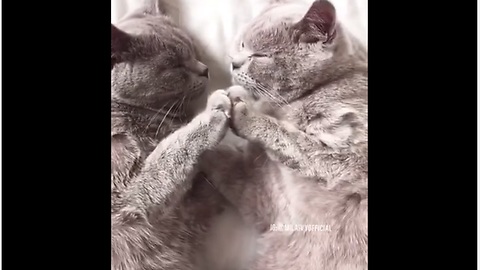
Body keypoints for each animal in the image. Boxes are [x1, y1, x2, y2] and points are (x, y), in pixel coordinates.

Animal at [111, 4, 236, 270]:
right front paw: (212, 113)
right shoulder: (123, 194)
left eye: (193, 49)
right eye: (175, 65)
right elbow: (167, 156)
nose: (205, 69)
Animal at [201, 1, 370, 268]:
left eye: (260, 55)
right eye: (242, 44)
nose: (233, 63)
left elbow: (293, 140)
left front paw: (245, 113)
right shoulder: (263, 198)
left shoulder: (351, 157)